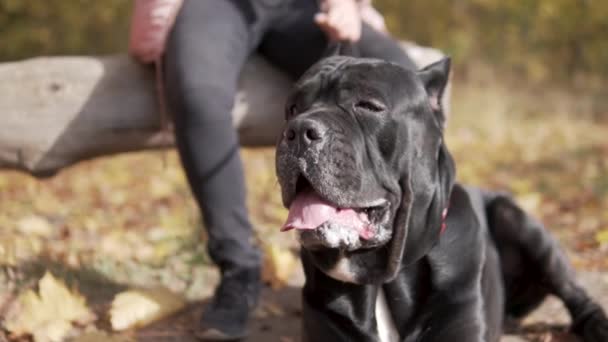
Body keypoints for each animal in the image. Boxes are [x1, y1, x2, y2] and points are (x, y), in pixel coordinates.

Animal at [276, 57, 608, 340]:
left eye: (368, 106)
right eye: (292, 108)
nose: (298, 130)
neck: (381, 277)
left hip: (519, 221)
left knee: (573, 292)